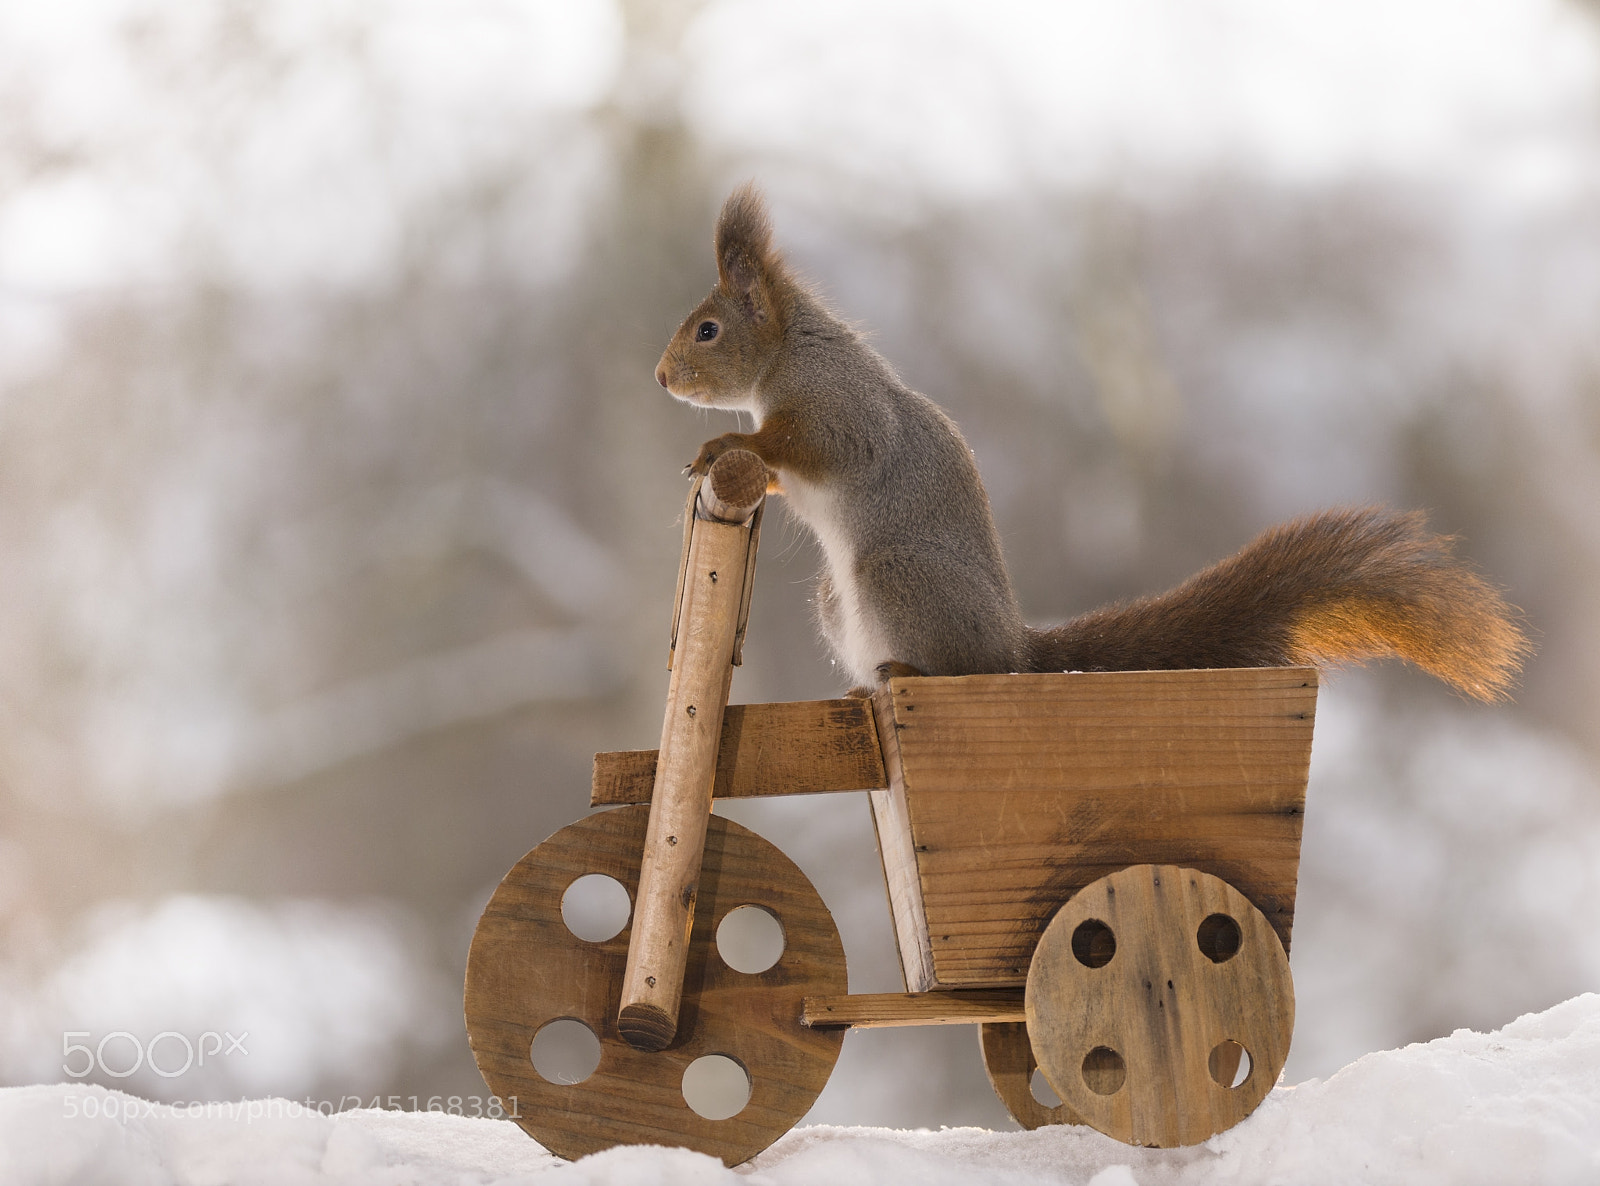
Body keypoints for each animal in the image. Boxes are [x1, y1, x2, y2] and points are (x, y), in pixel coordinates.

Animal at [655, 183, 1529, 702]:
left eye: (708, 330)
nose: (661, 378)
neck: (788, 352)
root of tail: (1016, 651)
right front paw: (717, 458)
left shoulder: (842, 410)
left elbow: (807, 446)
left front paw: (732, 444)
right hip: (841, 603)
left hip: (898, 574)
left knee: (961, 670)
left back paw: (911, 669)